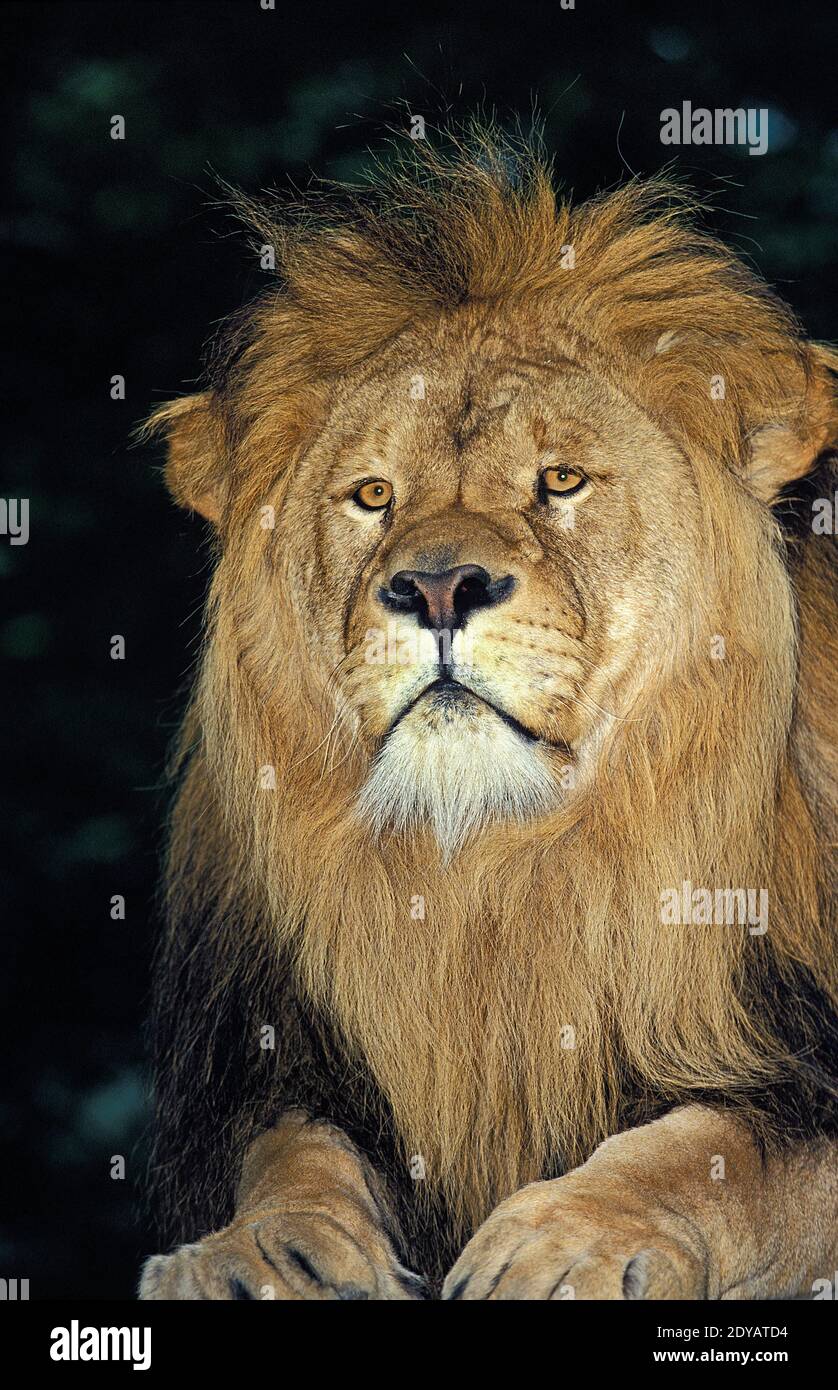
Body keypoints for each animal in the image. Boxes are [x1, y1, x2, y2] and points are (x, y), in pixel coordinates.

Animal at [139, 130, 838, 1300]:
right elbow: (289, 1154)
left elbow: (720, 1150)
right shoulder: (271, 1057)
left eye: (560, 480)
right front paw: (258, 1252)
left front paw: (568, 1240)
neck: (504, 876)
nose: (434, 588)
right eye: (373, 495)